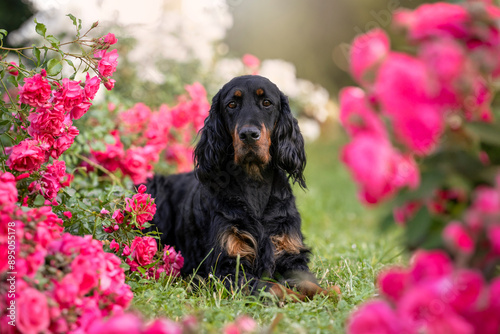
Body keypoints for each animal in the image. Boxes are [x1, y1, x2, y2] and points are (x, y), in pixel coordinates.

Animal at [146, 75, 338, 300]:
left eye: (266, 103)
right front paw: (294, 297)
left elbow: (307, 282)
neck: (254, 183)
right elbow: (273, 287)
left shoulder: (290, 254)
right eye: (231, 104)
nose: (248, 134)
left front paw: (329, 293)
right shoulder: (229, 267)